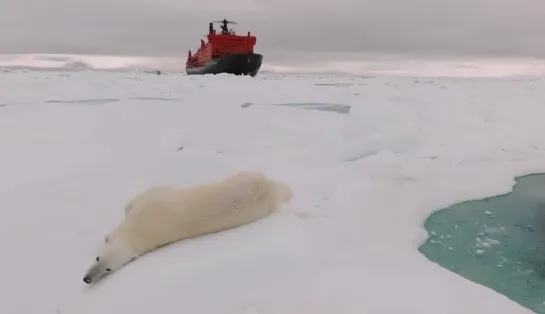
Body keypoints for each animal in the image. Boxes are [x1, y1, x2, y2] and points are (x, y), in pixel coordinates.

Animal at [82, 172, 292, 284]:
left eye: (108, 269)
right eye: (97, 258)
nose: (87, 279)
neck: (142, 227)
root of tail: (272, 189)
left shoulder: (153, 202)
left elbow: (145, 195)